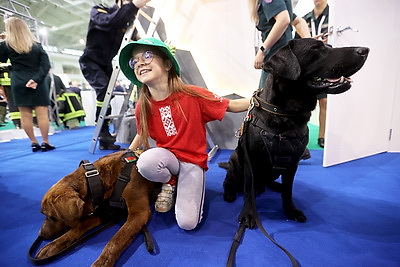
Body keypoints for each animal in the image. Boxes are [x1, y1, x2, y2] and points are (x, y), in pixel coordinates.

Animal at [222, 38, 368, 228]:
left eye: (329, 46)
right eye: (315, 48)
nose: (364, 50)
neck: (286, 115)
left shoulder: (292, 163)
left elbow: (288, 190)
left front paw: (290, 210)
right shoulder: (250, 162)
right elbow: (248, 190)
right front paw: (248, 213)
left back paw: (274, 186)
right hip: (235, 162)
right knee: (230, 181)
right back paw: (229, 193)